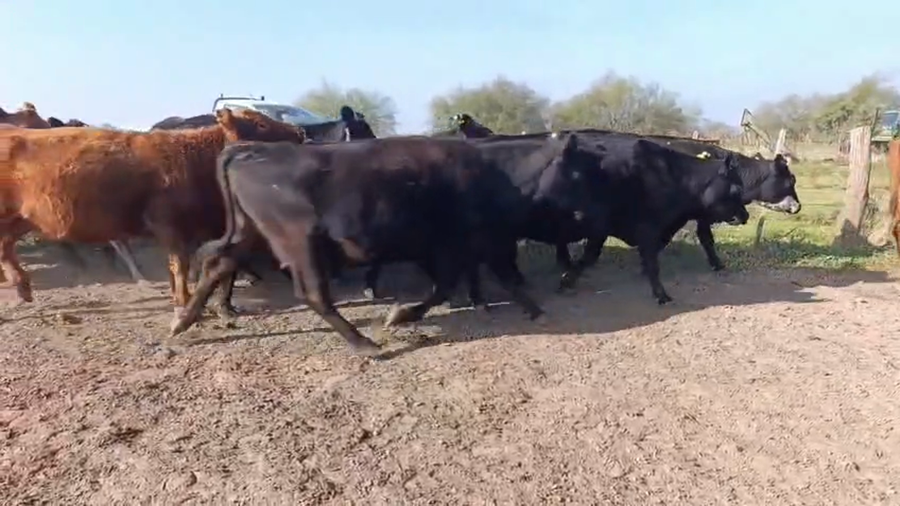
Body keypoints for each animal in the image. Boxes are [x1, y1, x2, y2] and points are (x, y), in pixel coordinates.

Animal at [0, 108, 305, 306]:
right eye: (260, 124)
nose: (300, 131)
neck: (192, 158)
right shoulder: (170, 225)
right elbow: (179, 264)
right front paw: (183, 300)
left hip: (21, 220)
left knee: (5, 246)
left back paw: (23, 287)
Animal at [168, 134, 598, 354]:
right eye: (579, 172)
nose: (588, 214)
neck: (493, 174)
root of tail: (250, 149)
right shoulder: (466, 242)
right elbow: (460, 284)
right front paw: (401, 314)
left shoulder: (451, 247)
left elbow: (460, 283)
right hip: (298, 242)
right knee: (313, 294)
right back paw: (363, 344)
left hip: (250, 234)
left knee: (217, 265)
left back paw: (182, 322)